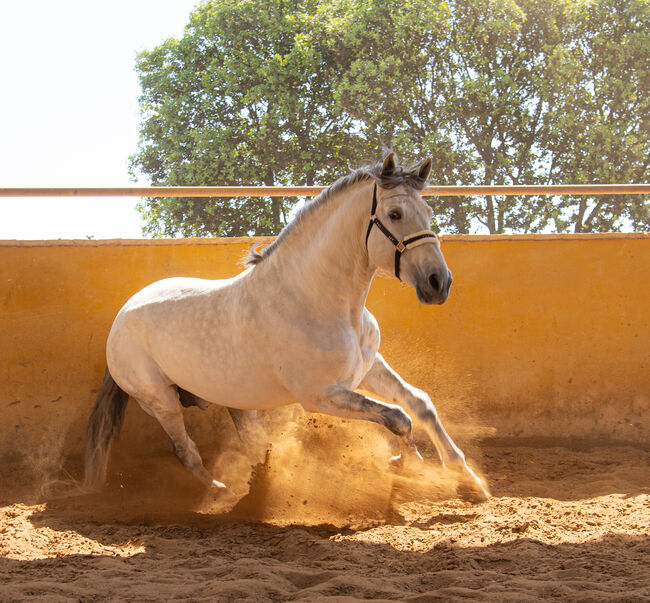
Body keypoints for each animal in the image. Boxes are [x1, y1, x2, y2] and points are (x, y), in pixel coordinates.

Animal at [85, 153, 486, 502]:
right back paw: (222, 493)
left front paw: (468, 479)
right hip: (160, 400)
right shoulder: (320, 395)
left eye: (429, 211)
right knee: (186, 451)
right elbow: (398, 418)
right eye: (395, 213)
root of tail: (122, 317)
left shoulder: (368, 368)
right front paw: (409, 464)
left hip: (235, 400)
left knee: (253, 443)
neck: (320, 302)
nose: (439, 283)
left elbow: (419, 404)